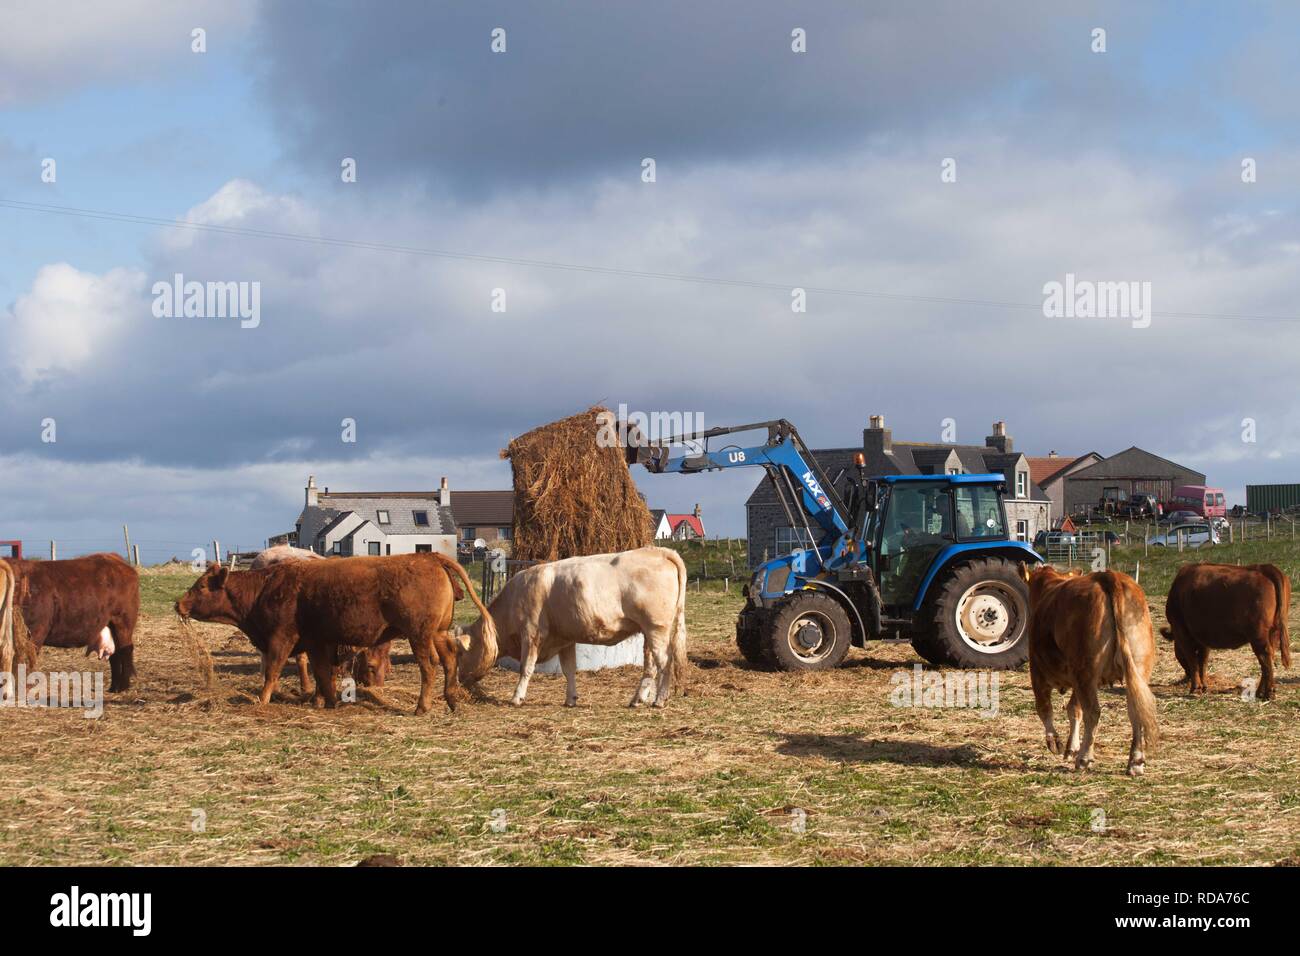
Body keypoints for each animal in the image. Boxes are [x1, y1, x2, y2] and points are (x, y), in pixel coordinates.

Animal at [8, 554, 140, 697]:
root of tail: (114, 558)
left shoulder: (34, 633)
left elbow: (25, 661)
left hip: (123, 623)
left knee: (125, 651)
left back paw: (122, 686)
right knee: (115, 655)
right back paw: (113, 687)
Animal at [175, 548, 493, 712]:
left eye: (201, 587)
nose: (179, 603)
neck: (267, 587)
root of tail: (430, 557)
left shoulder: (282, 638)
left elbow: (273, 670)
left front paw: (262, 700)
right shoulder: (318, 642)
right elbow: (321, 673)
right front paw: (326, 701)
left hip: (420, 636)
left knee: (429, 667)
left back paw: (422, 707)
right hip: (438, 633)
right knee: (450, 659)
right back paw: (451, 700)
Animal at [462, 546, 696, 712]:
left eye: (462, 652)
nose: (461, 680)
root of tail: (659, 551)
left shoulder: (531, 633)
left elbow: (526, 668)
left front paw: (516, 697)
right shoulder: (565, 639)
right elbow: (569, 670)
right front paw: (570, 699)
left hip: (656, 628)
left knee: (665, 662)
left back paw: (660, 700)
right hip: (648, 631)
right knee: (651, 667)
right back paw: (637, 699)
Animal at [1019, 567, 1164, 780]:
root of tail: (1108, 575)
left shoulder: (1038, 672)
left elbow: (1045, 708)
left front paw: (1055, 742)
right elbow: (1074, 709)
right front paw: (1071, 747)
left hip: (1085, 671)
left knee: (1093, 712)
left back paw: (1084, 758)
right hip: (1136, 670)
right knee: (1136, 711)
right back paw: (1135, 762)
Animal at [1159, 564, 1289, 697]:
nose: (1186, 678)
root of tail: (1264, 567)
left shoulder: (1182, 631)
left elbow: (1193, 660)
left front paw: (1195, 689)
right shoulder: (1203, 637)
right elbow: (1203, 661)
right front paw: (1203, 686)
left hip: (1258, 634)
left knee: (1265, 656)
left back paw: (1269, 692)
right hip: (1272, 631)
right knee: (1268, 658)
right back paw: (1260, 692)